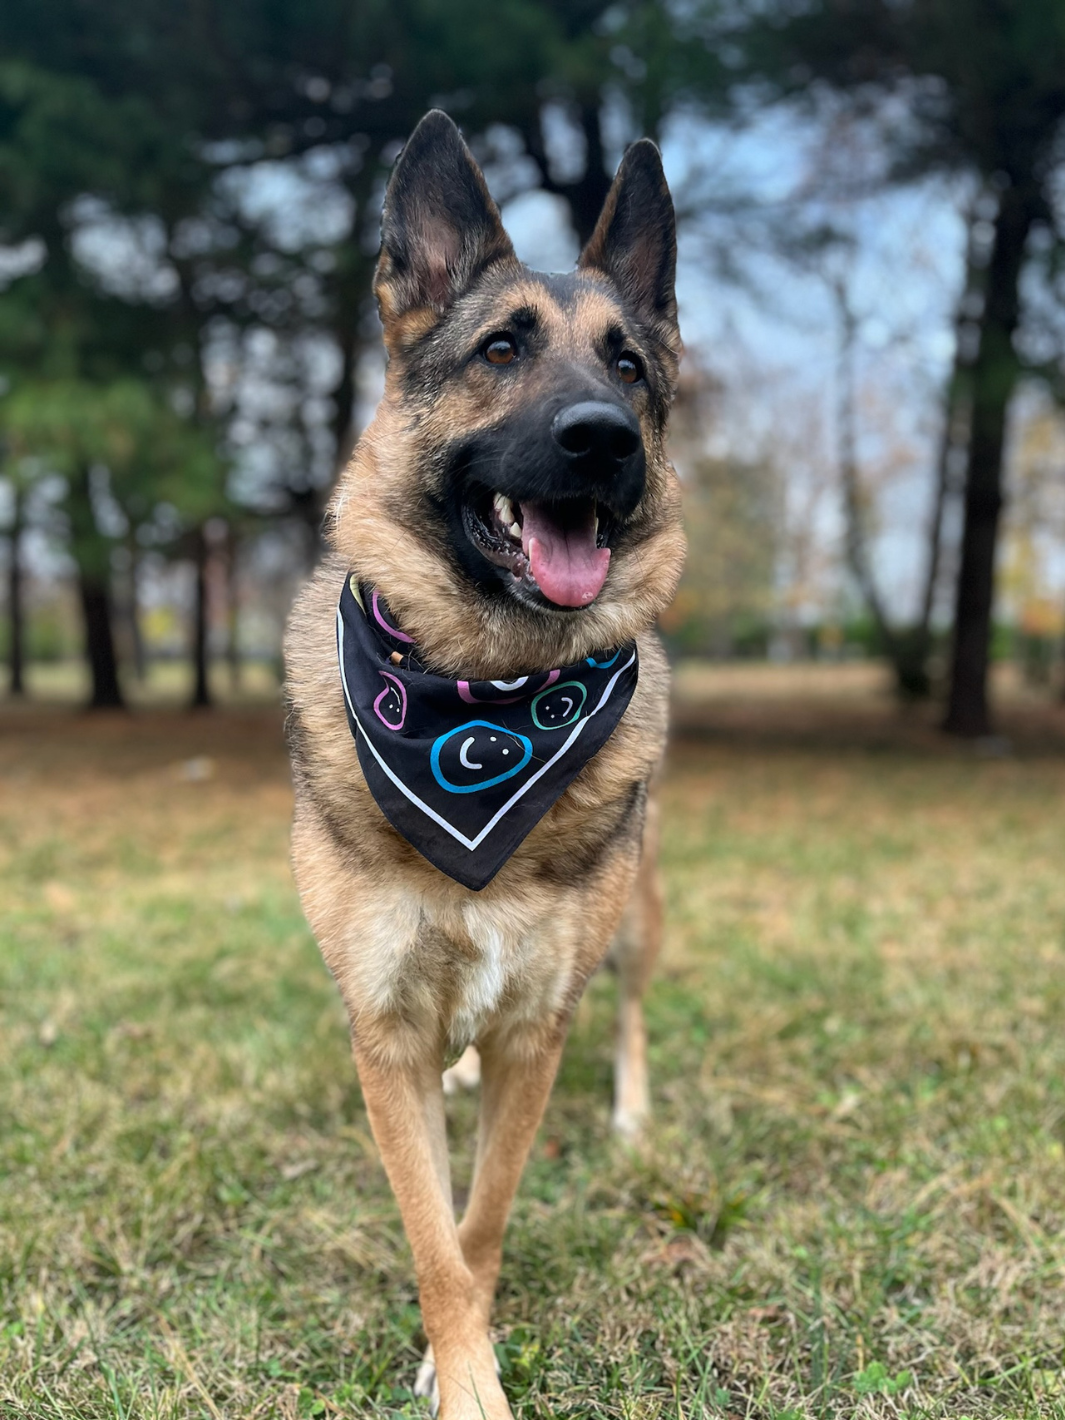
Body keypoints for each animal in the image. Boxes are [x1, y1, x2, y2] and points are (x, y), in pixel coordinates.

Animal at [284, 110, 684, 1420]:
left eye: (631, 369)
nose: (603, 441)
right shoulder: (387, 1032)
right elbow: (431, 1235)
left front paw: (468, 1361)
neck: (484, 702)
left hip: (639, 917)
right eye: (501, 348)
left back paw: (633, 1110)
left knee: (632, 1009)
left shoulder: (533, 1031)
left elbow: (485, 1214)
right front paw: (463, 1373)